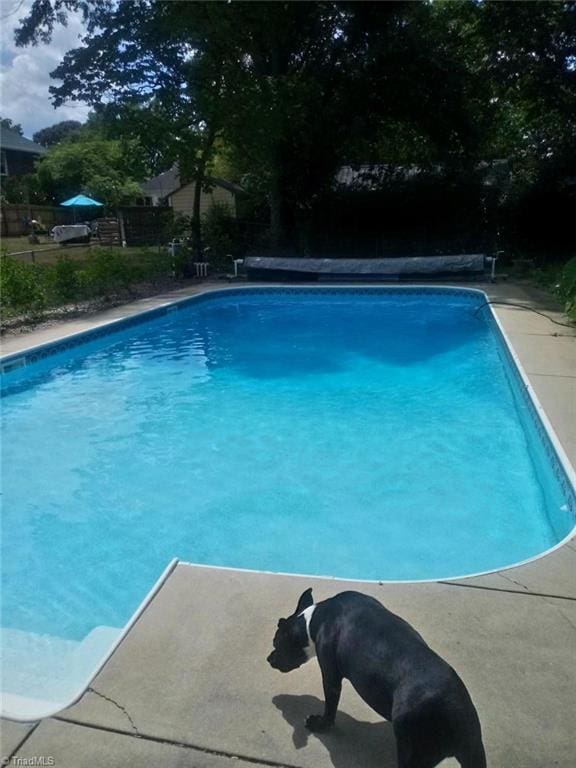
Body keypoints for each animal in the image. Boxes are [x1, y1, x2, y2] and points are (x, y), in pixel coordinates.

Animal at [266, 592, 486, 764]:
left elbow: (330, 707)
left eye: (276, 643)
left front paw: (321, 724)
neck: (312, 620)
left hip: (412, 751)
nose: (269, 659)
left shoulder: (330, 677)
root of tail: (456, 711)